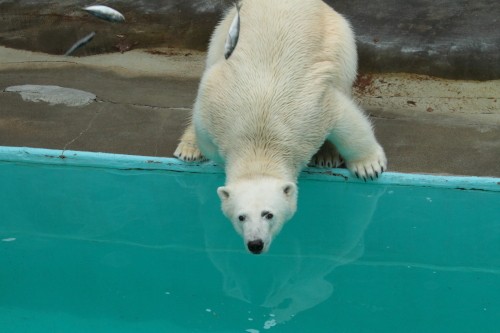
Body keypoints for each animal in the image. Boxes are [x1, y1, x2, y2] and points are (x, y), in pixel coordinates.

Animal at [174, 0, 388, 253]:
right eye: (241, 217)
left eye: (269, 214)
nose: (255, 244)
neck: (260, 138)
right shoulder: (215, 110)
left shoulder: (310, 109)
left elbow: (345, 118)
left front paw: (369, 167)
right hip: (222, 32)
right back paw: (188, 150)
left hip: (341, 38)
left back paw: (326, 155)